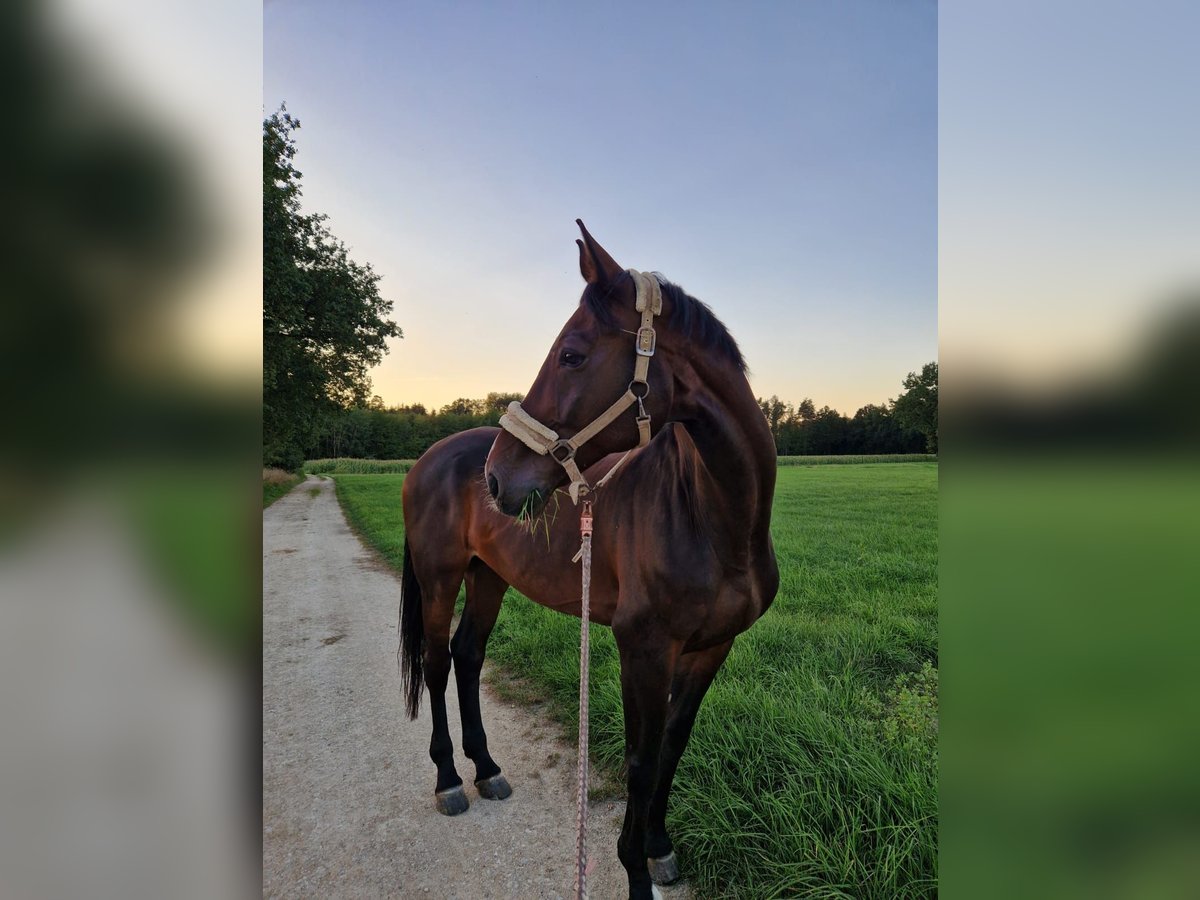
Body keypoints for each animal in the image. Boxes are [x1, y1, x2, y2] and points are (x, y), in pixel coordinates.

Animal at [398, 220, 782, 900]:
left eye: (573, 354)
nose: (497, 478)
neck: (715, 520)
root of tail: (427, 459)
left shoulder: (711, 648)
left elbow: (672, 745)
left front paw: (658, 847)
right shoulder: (643, 649)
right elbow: (639, 761)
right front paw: (635, 868)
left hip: (489, 577)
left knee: (468, 656)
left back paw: (487, 768)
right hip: (439, 578)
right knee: (438, 662)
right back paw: (449, 781)